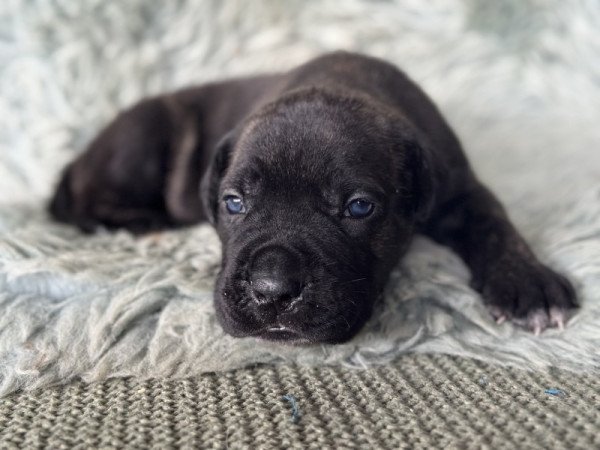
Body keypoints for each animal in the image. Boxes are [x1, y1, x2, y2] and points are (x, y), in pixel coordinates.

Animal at [50, 51, 576, 342]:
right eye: (233, 203)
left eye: (359, 207)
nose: (271, 290)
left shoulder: (461, 191)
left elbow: (495, 223)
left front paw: (527, 282)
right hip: (143, 134)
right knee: (86, 202)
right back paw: (144, 223)